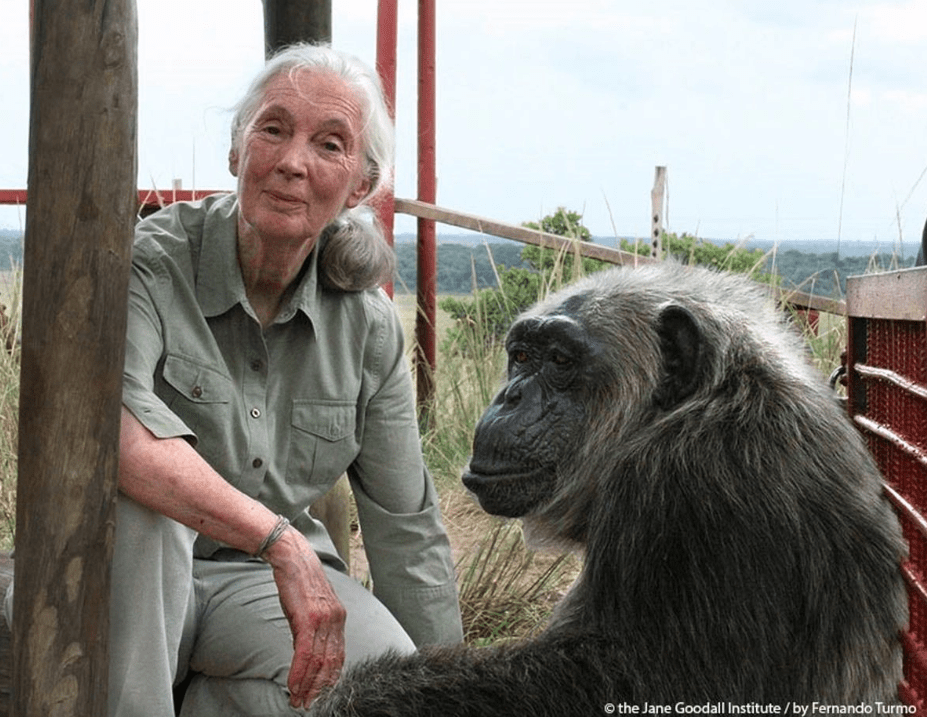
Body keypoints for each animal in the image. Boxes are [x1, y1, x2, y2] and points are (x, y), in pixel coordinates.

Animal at [309, 262, 908, 716]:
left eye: (560, 360)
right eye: (521, 356)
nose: (510, 396)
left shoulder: (697, 486)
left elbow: (633, 683)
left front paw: (362, 695)